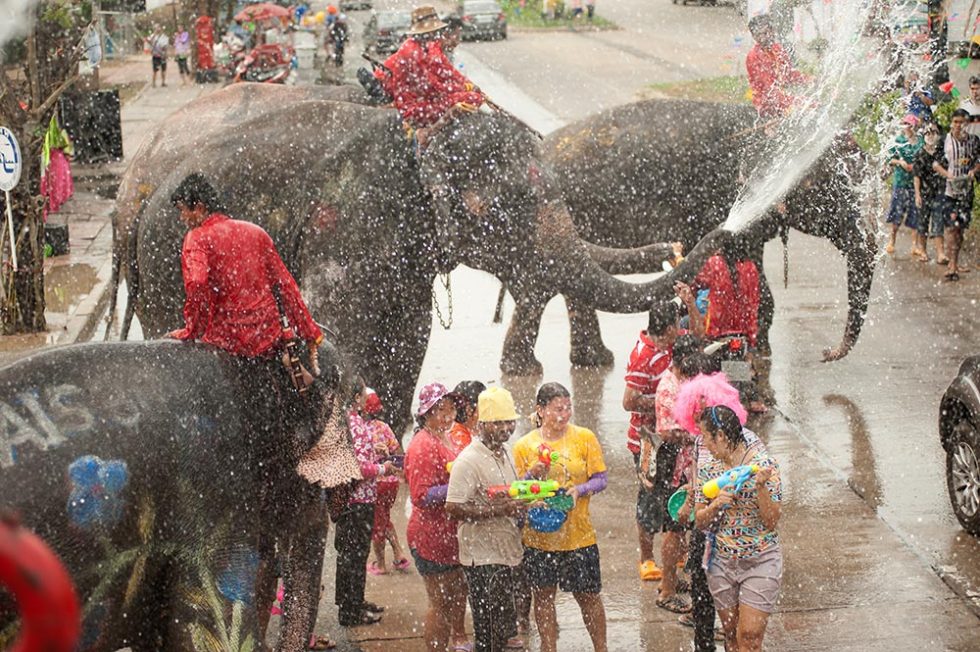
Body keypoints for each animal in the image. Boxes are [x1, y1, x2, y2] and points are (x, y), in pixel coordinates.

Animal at [111, 83, 732, 438]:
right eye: (513, 203)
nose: (680, 246)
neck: (420, 133)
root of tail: (136, 201)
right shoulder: (349, 221)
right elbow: (343, 327)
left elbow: (408, 333)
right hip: (173, 263)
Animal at [498, 96, 880, 372]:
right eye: (830, 189)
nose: (826, 352)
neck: (766, 127)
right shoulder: (718, 199)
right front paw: (756, 351)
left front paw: (758, 348)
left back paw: (594, 360)